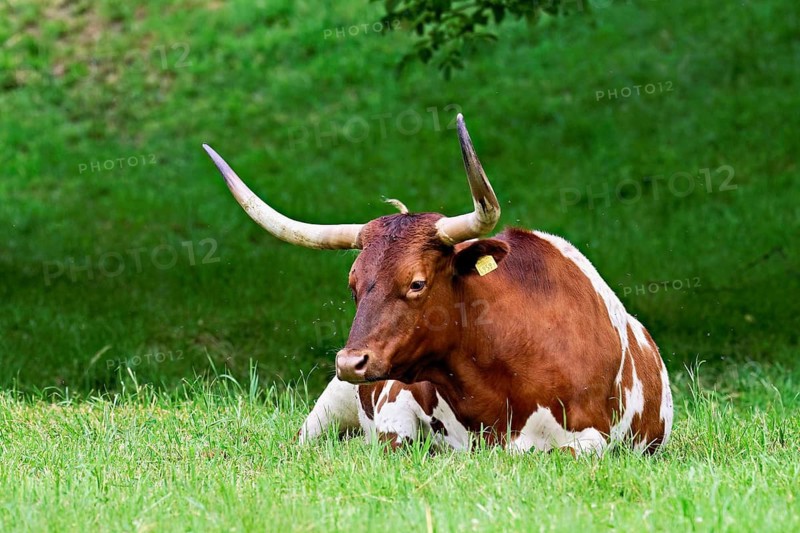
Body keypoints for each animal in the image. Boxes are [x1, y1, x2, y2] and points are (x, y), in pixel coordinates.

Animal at [203, 114, 673, 455]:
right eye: (353, 284)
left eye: (416, 283)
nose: (351, 362)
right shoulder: (395, 406)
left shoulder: (592, 438)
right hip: (328, 408)